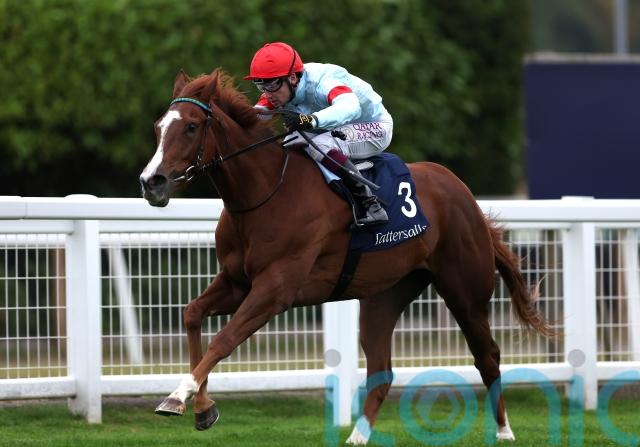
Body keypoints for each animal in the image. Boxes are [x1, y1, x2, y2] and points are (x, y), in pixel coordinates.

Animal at [139, 68, 552, 444]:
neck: (265, 192)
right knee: (382, 371)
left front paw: (176, 397)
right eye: (159, 127)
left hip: (464, 291)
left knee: (488, 357)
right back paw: (357, 436)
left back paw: (504, 431)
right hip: (385, 296)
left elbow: (223, 340)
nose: (151, 182)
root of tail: (463, 193)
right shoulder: (237, 282)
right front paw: (203, 408)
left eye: (191, 127)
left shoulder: (275, 290)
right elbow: (192, 314)